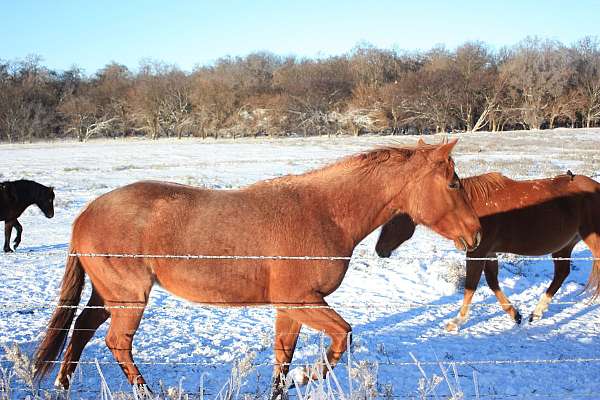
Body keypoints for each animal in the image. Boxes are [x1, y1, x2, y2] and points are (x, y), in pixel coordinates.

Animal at [35, 140, 480, 390]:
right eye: (453, 182)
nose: (475, 233)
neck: (324, 212)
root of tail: (86, 214)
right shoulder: (302, 301)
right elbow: (342, 338)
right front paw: (307, 378)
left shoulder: (292, 307)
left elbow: (283, 359)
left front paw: (290, 381)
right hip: (128, 299)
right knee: (116, 343)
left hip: (108, 295)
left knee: (81, 332)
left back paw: (62, 385)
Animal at [376, 172, 600, 332]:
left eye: (395, 216)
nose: (380, 249)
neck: (470, 211)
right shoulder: (489, 253)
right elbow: (492, 282)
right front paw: (514, 314)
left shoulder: (477, 252)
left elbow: (471, 285)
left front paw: (457, 321)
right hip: (564, 246)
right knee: (561, 273)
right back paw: (536, 312)